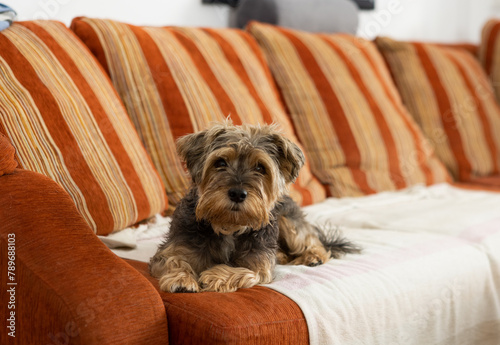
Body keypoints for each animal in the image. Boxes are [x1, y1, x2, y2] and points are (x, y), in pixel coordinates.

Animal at [149, 122, 360, 292]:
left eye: (260, 167)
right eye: (220, 162)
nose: (237, 193)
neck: (229, 226)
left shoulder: (260, 265)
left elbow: (247, 271)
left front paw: (215, 275)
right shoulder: (172, 250)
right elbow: (173, 259)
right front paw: (182, 280)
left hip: (288, 222)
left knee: (315, 242)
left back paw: (312, 257)